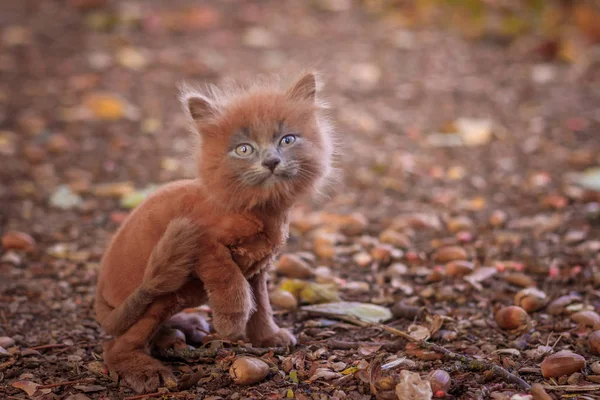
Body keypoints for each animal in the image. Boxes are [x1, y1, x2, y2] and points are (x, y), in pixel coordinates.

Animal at [96, 72, 336, 394]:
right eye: (244, 149)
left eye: (287, 140)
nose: (271, 161)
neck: (257, 208)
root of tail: (99, 292)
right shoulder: (205, 245)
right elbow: (230, 281)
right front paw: (231, 322)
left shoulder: (257, 269)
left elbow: (261, 304)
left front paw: (267, 336)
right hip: (159, 294)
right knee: (116, 347)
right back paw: (146, 371)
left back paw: (183, 328)